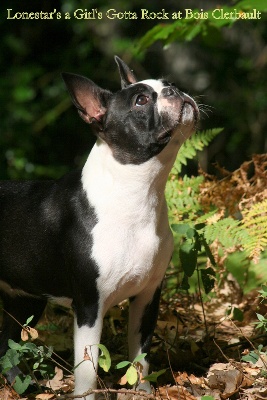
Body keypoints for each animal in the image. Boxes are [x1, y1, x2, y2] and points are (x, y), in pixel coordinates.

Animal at [0, 56, 200, 396]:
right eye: (141, 100)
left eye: (168, 84)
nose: (175, 90)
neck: (138, 193)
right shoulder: (89, 308)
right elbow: (87, 371)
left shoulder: (147, 298)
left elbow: (141, 358)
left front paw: (142, 393)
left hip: (25, 301)